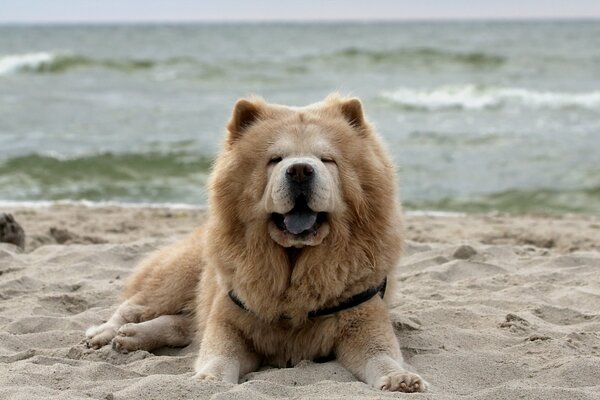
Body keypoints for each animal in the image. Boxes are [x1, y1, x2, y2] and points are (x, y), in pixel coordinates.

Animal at [86, 93, 428, 390]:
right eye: (275, 159)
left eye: (326, 159)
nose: (300, 170)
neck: (294, 265)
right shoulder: (229, 318)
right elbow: (218, 352)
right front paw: (210, 380)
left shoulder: (363, 319)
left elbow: (381, 356)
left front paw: (401, 379)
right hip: (178, 277)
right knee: (135, 306)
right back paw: (104, 334)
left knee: (183, 325)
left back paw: (131, 337)